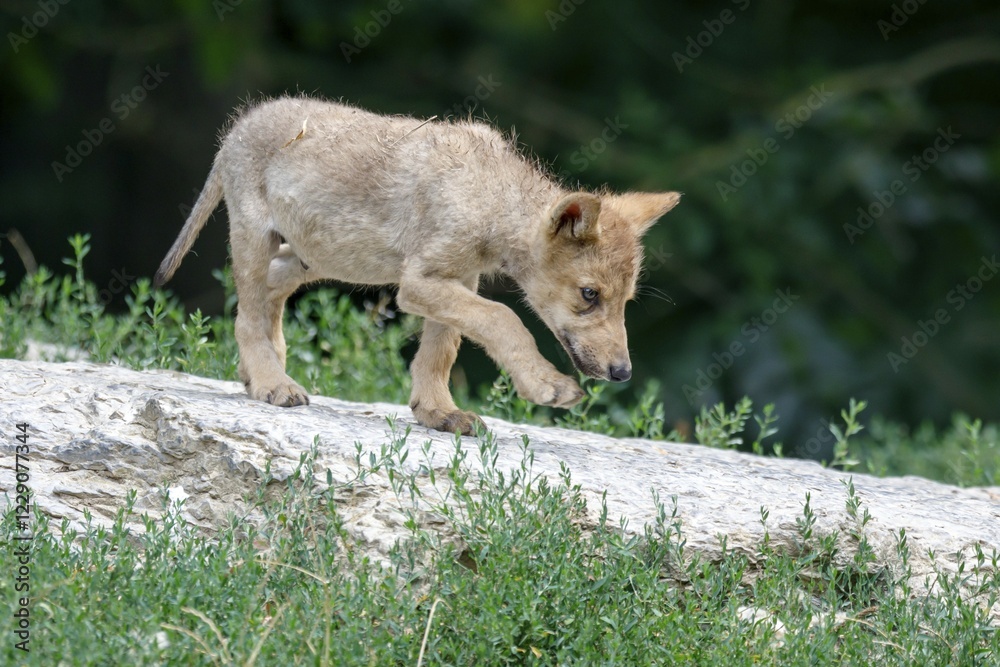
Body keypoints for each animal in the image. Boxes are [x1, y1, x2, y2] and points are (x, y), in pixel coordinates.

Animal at [155, 96, 680, 435]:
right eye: (590, 295)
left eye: (626, 302)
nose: (623, 373)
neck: (489, 199)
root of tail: (237, 127)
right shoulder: (420, 283)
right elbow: (504, 319)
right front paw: (545, 385)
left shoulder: (456, 280)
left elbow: (441, 351)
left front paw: (438, 413)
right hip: (257, 239)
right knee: (246, 316)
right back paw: (271, 383)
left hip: (318, 258)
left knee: (268, 297)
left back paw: (262, 373)